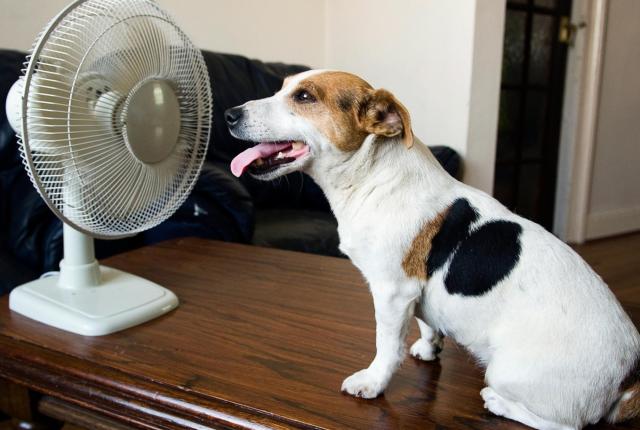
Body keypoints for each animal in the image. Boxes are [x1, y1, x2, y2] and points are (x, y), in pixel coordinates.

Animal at [224, 70, 640, 430]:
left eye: (305, 97)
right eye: (282, 87)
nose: (229, 114)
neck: (373, 176)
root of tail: (629, 375)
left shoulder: (392, 293)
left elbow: (386, 346)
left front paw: (373, 383)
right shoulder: (416, 292)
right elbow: (428, 321)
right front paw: (429, 347)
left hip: (507, 372)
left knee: (567, 424)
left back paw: (498, 403)